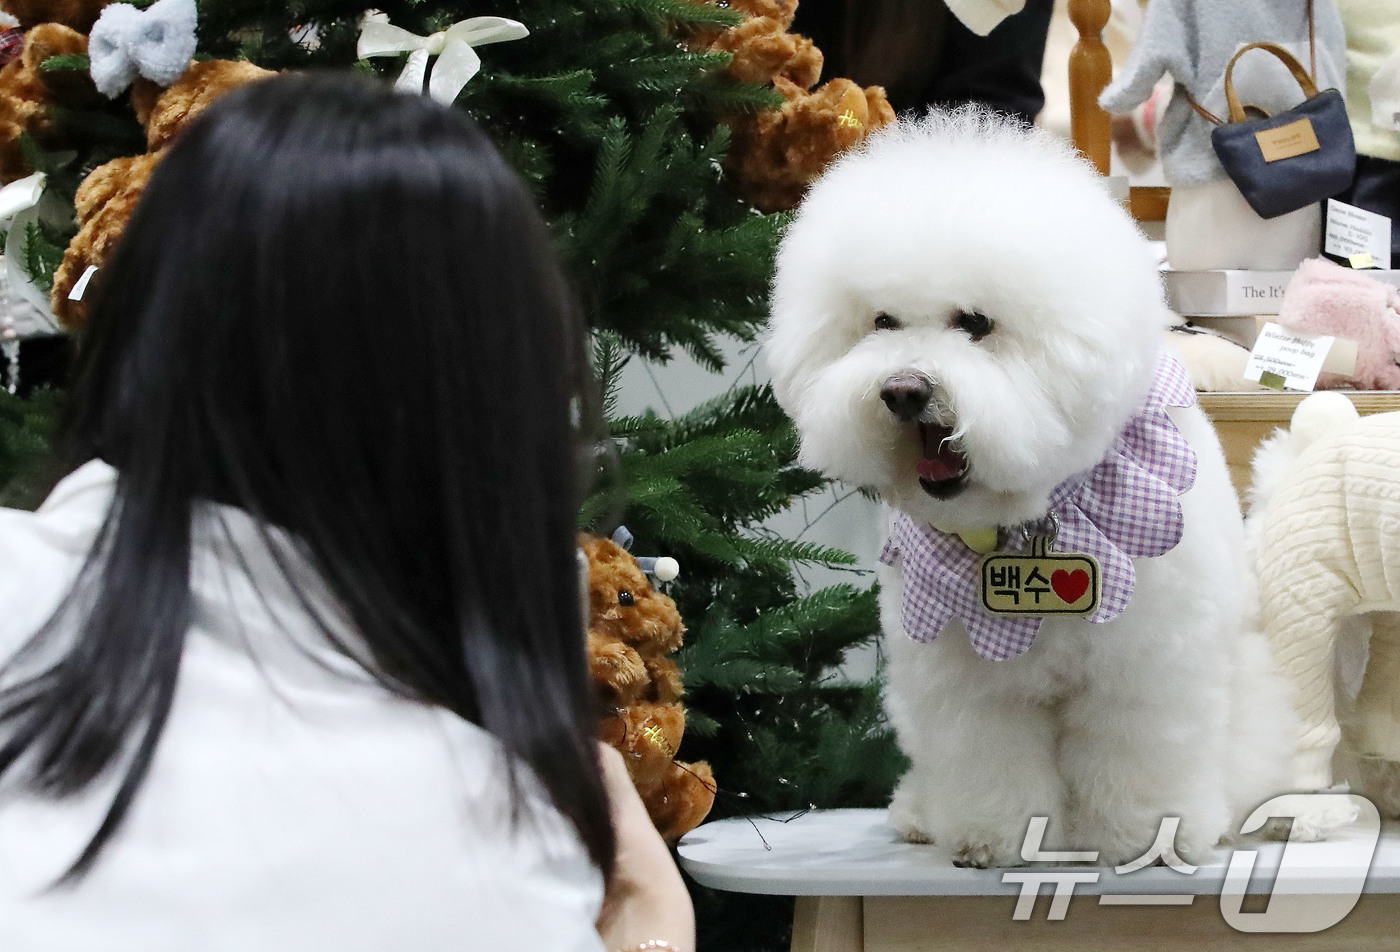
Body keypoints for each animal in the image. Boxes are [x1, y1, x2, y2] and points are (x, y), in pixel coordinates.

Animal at [767, 111, 1299, 868]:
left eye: (976, 323)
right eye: (881, 323)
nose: (903, 390)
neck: (1028, 524)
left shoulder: (1146, 670)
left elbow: (1139, 755)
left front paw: (1142, 836)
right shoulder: (969, 684)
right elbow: (991, 761)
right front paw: (995, 839)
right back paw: (923, 815)